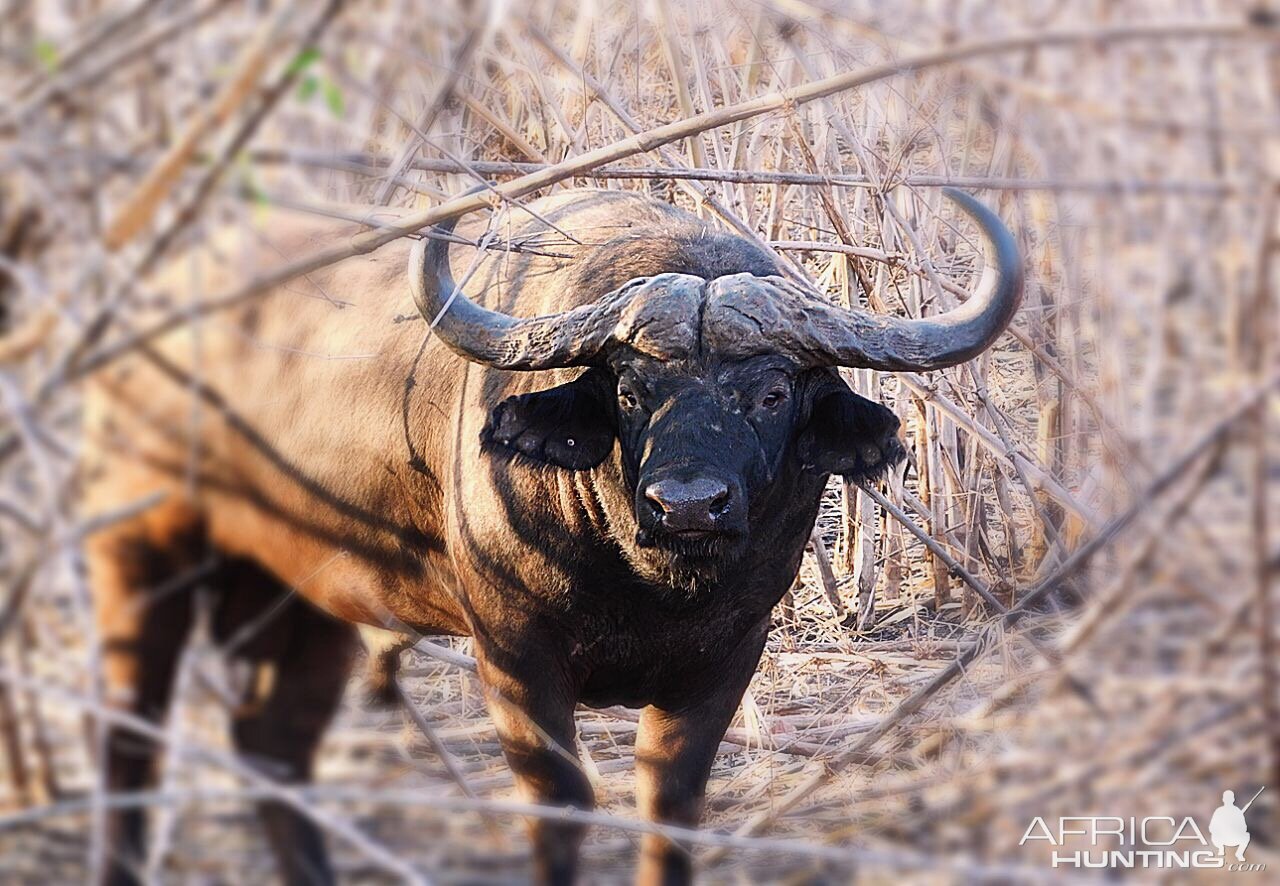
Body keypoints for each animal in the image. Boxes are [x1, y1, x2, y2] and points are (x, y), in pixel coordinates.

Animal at [82, 183, 1018, 880]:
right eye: (631, 388)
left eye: (773, 391)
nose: (689, 505)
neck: (648, 585)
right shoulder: (513, 650)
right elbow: (560, 806)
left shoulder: (728, 656)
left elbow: (671, 804)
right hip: (139, 555)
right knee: (131, 735)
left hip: (299, 594)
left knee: (271, 745)